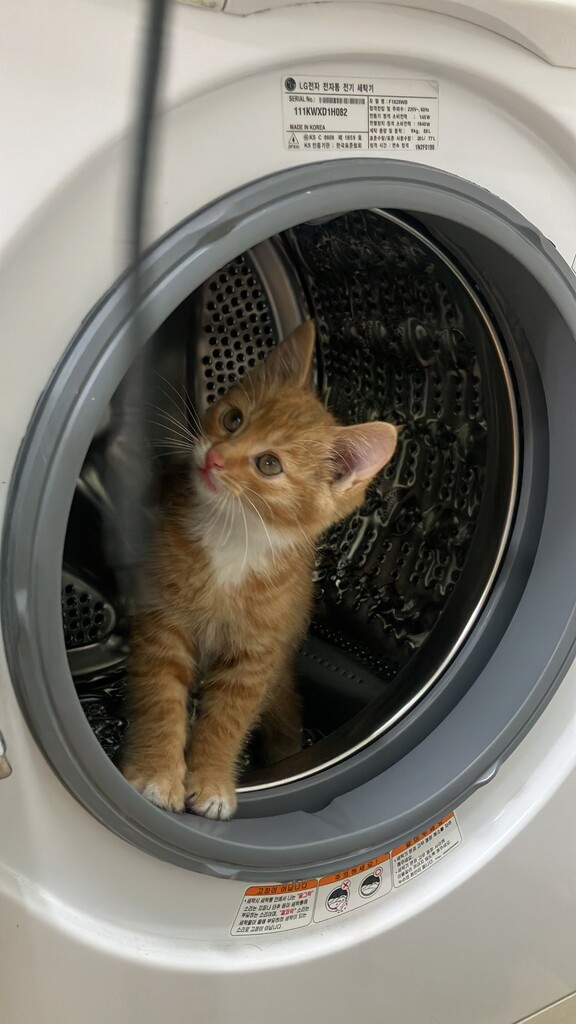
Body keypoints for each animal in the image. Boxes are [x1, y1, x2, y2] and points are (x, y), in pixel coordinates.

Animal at [121, 320, 397, 820]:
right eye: (233, 420)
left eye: (269, 464)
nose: (213, 458)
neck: (232, 538)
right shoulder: (162, 621)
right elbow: (160, 697)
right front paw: (158, 773)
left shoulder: (256, 654)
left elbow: (228, 719)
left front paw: (212, 781)